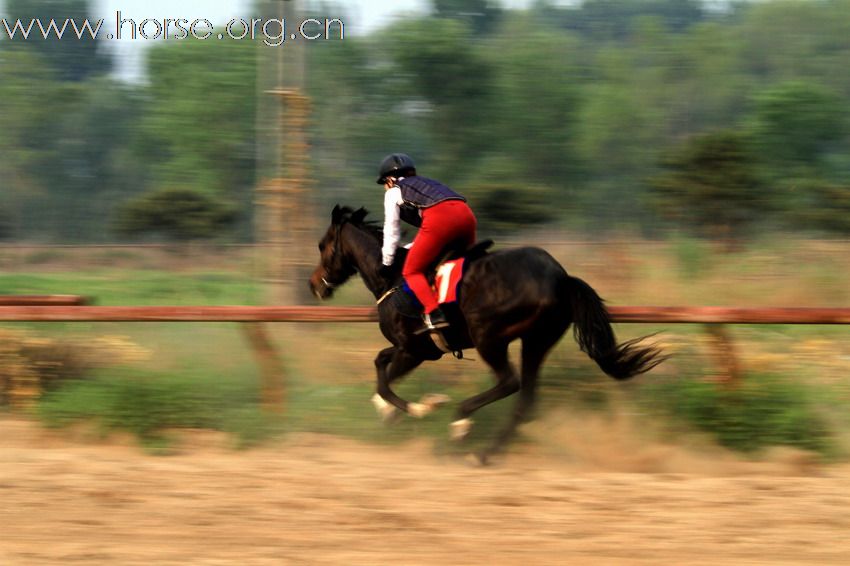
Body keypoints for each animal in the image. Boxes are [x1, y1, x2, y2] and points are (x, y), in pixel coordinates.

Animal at [308, 206, 664, 460]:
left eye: (323, 245)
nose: (314, 286)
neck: (391, 276)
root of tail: (561, 278)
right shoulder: (416, 349)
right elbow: (381, 364)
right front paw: (388, 410)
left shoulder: (415, 349)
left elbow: (384, 376)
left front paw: (422, 407)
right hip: (537, 340)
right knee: (525, 398)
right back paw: (486, 453)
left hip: (489, 336)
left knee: (509, 382)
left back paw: (461, 423)